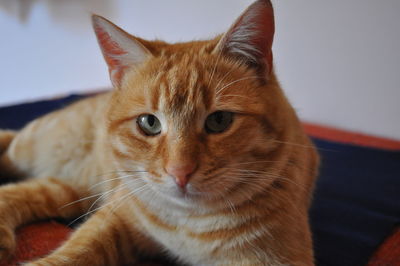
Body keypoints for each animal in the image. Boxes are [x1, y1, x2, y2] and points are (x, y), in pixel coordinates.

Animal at [0, 1, 318, 264]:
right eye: (149, 123)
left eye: (219, 120)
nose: (180, 172)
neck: (190, 224)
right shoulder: (115, 216)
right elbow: (75, 251)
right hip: (38, 152)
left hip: (71, 189)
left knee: (22, 191)